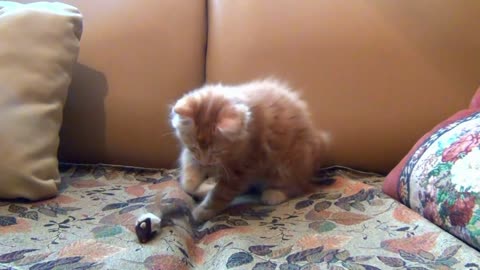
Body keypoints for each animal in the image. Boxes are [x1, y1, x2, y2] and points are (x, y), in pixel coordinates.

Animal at [171, 78, 328, 224]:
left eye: (216, 151)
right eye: (194, 147)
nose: (205, 162)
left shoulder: (242, 170)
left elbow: (219, 194)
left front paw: (202, 212)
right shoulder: (192, 155)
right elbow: (189, 170)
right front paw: (191, 184)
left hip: (290, 162)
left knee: (294, 186)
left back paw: (274, 194)